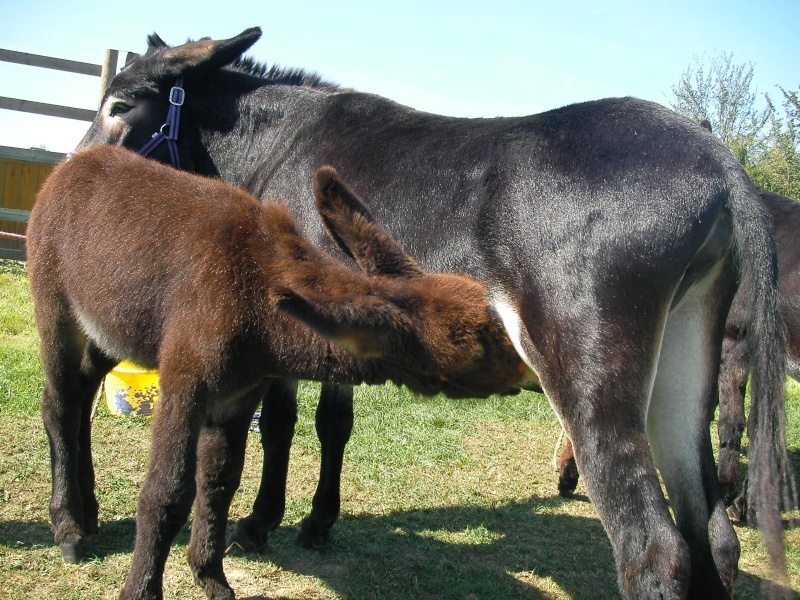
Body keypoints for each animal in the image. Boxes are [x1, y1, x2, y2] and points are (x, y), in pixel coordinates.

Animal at [28, 145, 532, 600]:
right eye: (479, 351)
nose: (528, 368)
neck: (254, 297)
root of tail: (78, 159)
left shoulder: (238, 393)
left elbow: (220, 480)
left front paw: (211, 578)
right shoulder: (185, 380)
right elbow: (167, 492)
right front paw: (142, 591)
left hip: (109, 328)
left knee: (83, 392)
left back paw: (88, 510)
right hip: (55, 304)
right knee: (59, 403)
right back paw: (68, 527)